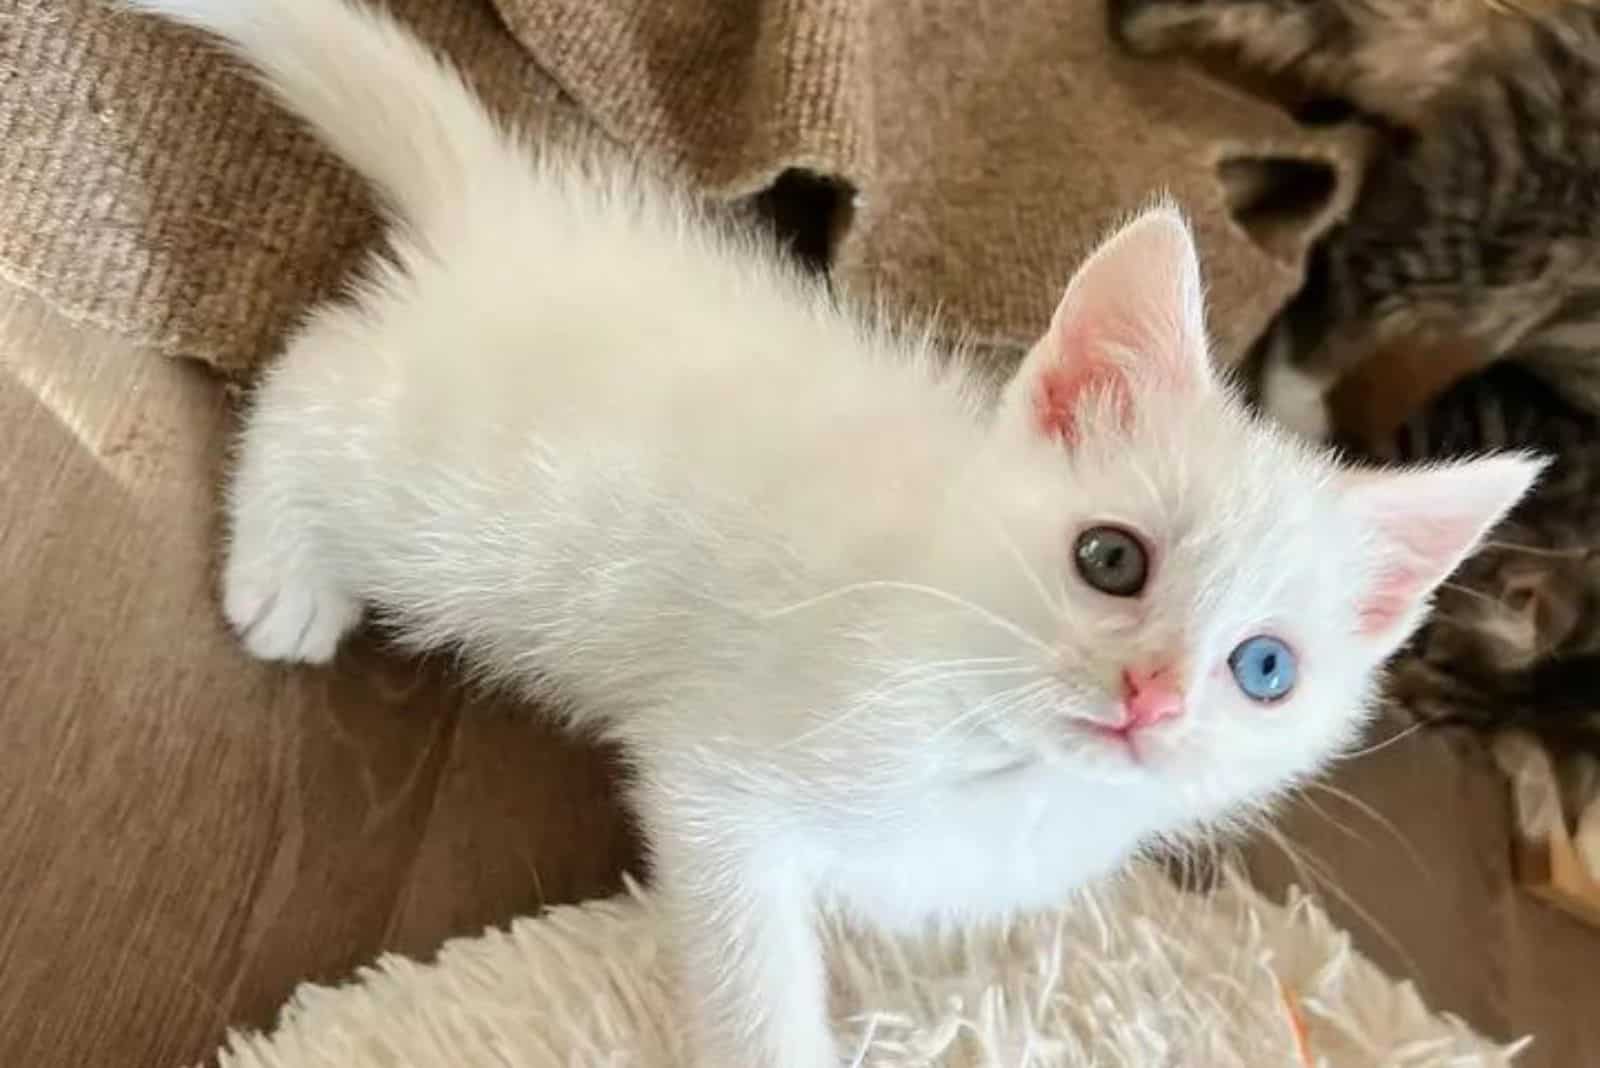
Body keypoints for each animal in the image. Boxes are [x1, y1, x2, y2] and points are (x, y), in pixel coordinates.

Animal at [131, 2, 1542, 1068]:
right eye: (1111, 559)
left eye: (1264, 669)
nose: (1152, 698)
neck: (1000, 760)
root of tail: (511, 215)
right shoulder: (724, 787)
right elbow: (755, 966)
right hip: (456, 499)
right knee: (313, 376)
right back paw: (285, 574)